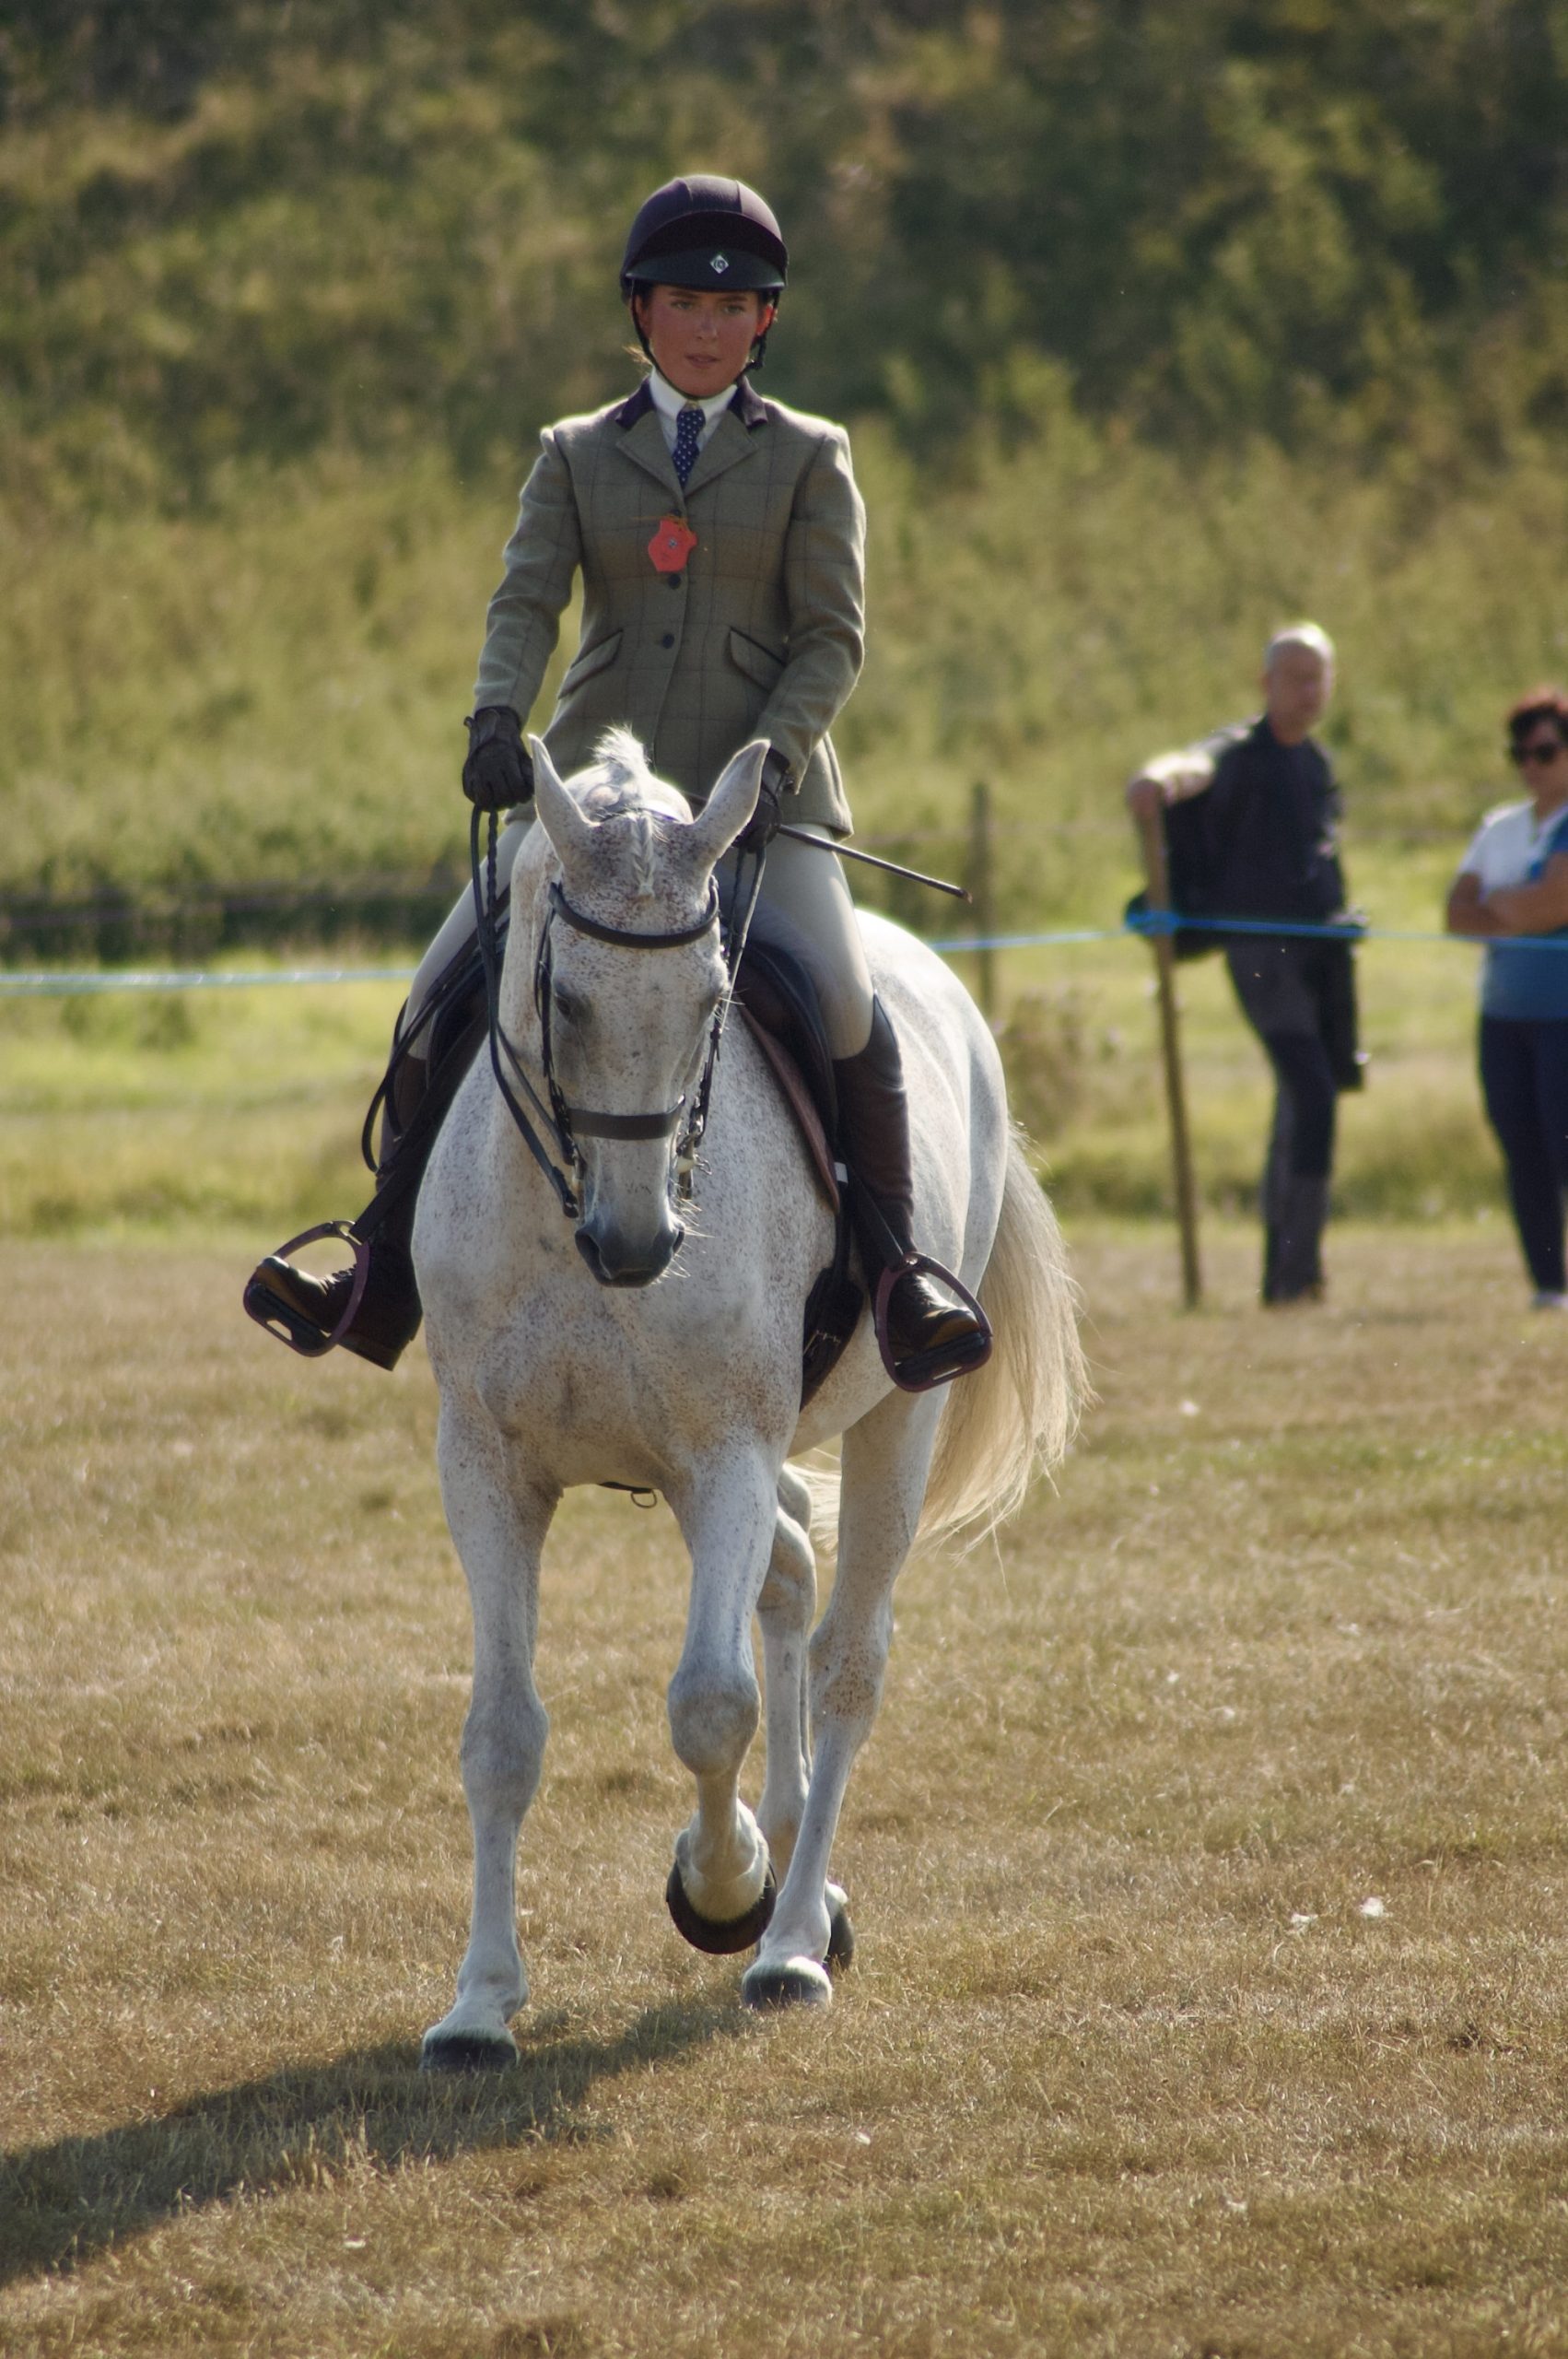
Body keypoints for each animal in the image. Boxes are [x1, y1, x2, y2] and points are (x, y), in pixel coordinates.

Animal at [415, 728, 1083, 2061]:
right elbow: (502, 1733)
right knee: (791, 1574)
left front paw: (719, 1890)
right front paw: (478, 2004)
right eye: (565, 1000)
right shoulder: (487, 1464)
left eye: (711, 1000)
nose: (636, 1245)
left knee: (843, 1658)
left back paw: (788, 1937)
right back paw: (788, 1870)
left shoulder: (725, 1449)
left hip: (893, 1418)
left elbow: (709, 1706)